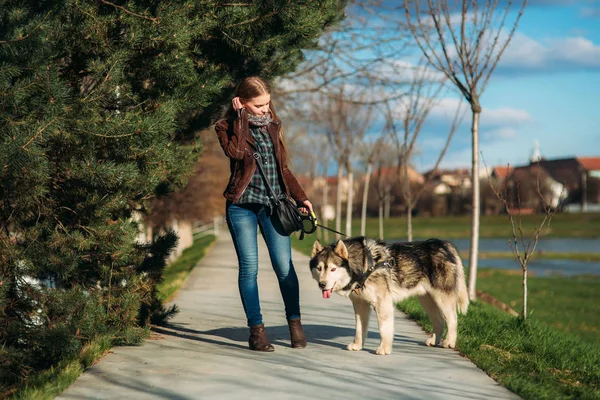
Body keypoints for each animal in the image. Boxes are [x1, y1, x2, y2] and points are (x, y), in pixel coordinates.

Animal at [310, 236, 468, 354]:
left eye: (333, 269)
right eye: (319, 268)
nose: (322, 284)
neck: (364, 266)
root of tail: (444, 244)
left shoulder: (382, 303)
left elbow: (384, 329)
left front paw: (384, 348)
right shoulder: (360, 304)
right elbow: (359, 328)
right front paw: (357, 345)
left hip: (442, 298)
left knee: (452, 319)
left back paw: (449, 341)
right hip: (426, 299)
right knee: (439, 320)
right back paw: (434, 340)